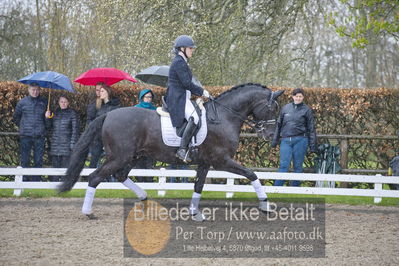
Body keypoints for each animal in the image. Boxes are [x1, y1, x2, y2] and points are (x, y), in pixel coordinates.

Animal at [58, 83, 284, 220]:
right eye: (272, 108)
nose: (270, 135)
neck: (223, 117)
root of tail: (108, 115)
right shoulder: (221, 160)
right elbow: (251, 174)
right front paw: (265, 205)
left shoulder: (205, 162)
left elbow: (199, 186)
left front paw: (194, 212)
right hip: (119, 157)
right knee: (95, 177)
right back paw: (88, 212)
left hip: (133, 156)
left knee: (120, 175)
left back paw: (144, 198)